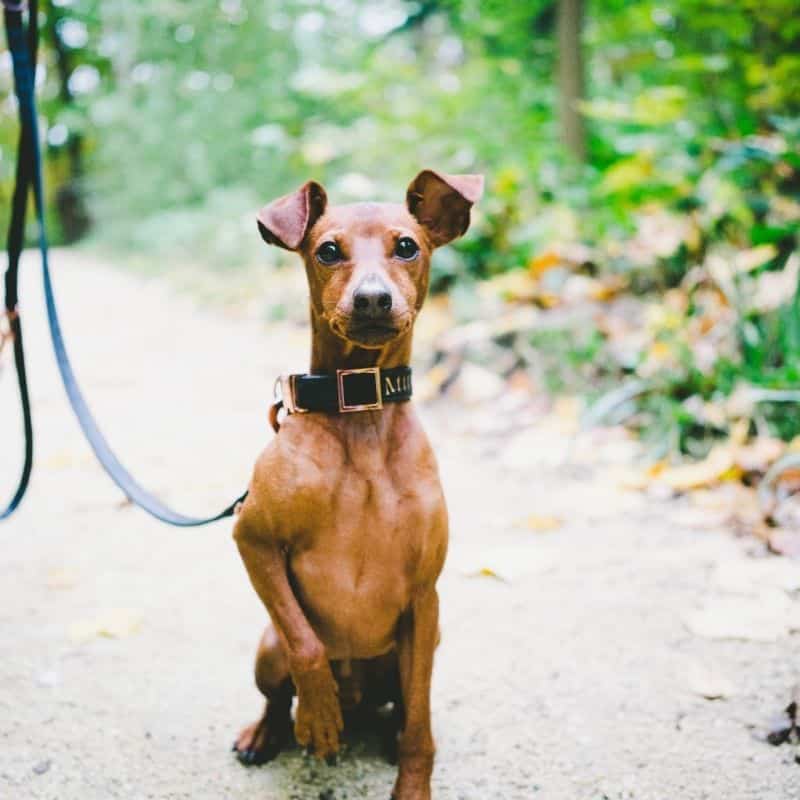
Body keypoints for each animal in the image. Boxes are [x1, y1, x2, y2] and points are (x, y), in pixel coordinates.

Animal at [231, 169, 482, 800]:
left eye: (407, 246)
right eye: (327, 251)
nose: (372, 298)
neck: (360, 410)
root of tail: (361, 700)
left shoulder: (424, 601)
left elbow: (422, 724)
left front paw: (412, 782)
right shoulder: (252, 538)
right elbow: (308, 646)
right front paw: (318, 714)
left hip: (415, 650)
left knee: (403, 709)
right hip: (266, 646)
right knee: (278, 690)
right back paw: (268, 732)